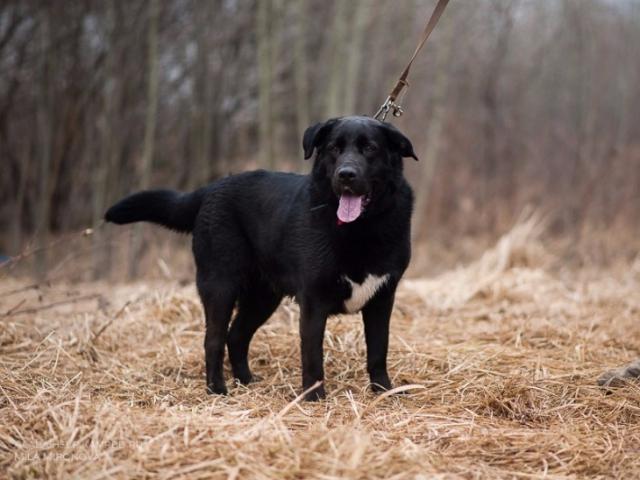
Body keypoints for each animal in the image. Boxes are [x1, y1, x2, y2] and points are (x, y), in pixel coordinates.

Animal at [106, 116, 416, 402]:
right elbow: (312, 355)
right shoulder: (313, 301)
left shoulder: (383, 298)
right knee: (214, 340)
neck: (360, 229)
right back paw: (217, 390)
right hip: (220, 285)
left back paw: (246, 381)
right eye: (333, 148)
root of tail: (211, 189)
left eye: (370, 148)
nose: (346, 174)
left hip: (263, 296)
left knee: (236, 335)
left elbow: (378, 350)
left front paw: (384, 391)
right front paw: (314, 397)